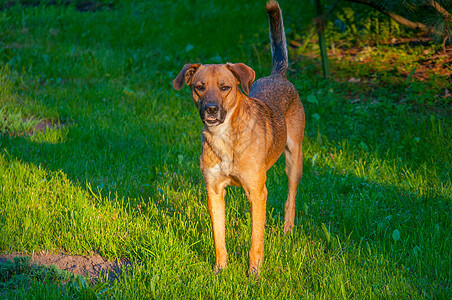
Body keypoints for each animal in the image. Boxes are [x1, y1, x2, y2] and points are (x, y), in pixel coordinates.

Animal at [171, 0, 306, 276]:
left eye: (225, 87)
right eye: (199, 87)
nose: (211, 109)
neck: (225, 137)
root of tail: (278, 75)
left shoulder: (257, 191)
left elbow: (256, 239)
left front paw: (254, 272)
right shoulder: (214, 191)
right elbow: (218, 237)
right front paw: (220, 269)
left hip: (293, 158)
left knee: (291, 198)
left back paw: (287, 231)